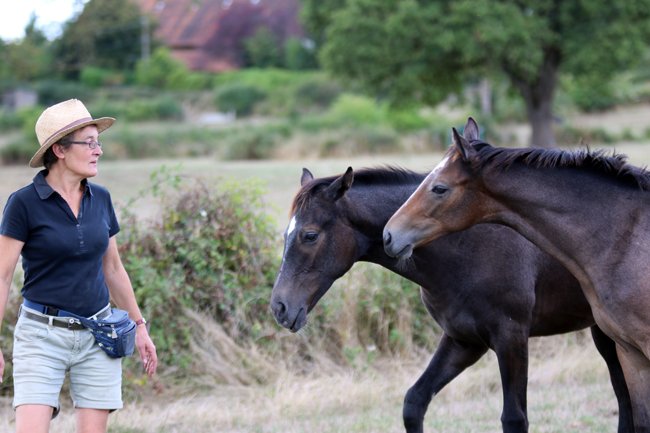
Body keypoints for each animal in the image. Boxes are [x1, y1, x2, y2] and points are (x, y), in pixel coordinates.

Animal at [270, 166, 632, 433]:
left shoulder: (511, 337)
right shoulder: (464, 340)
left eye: (310, 235)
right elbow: (414, 402)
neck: (463, 244)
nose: (279, 307)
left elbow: (514, 418)